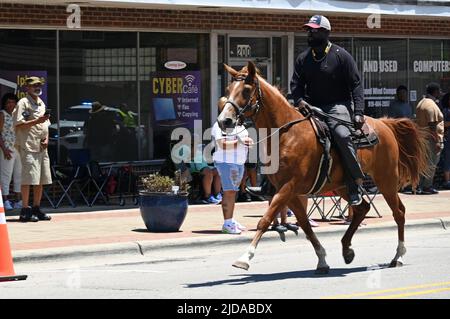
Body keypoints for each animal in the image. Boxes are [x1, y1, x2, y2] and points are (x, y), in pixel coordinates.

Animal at [220, 62, 430, 276]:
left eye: (246, 90)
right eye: (228, 90)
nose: (224, 120)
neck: (286, 134)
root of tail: (385, 123)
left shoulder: (288, 187)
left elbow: (265, 219)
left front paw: (244, 258)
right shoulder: (290, 191)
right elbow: (304, 224)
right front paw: (322, 259)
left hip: (386, 180)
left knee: (399, 212)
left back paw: (398, 256)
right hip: (344, 186)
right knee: (362, 208)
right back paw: (347, 249)